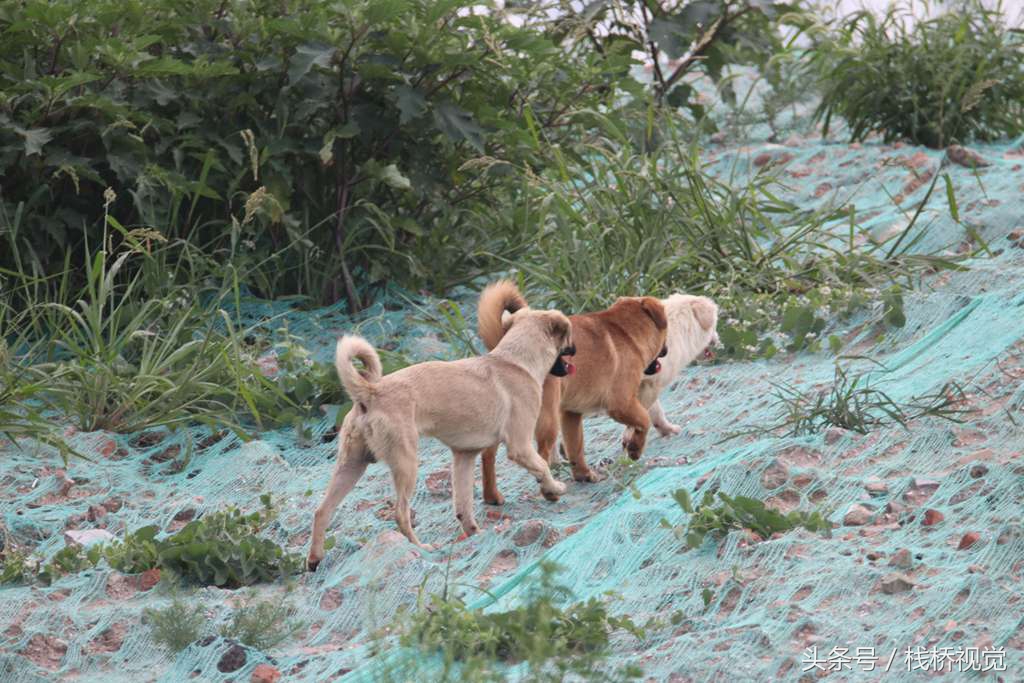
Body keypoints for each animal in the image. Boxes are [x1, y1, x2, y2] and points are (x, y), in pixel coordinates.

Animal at [303, 307, 577, 569]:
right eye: (568, 338)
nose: (575, 349)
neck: (514, 361)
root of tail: (371, 392)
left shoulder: (464, 457)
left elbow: (463, 504)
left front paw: (474, 533)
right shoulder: (520, 446)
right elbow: (542, 465)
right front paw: (553, 489)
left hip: (351, 466)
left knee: (321, 511)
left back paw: (315, 559)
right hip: (406, 464)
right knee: (400, 514)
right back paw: (421, 548)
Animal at [479, 278, 671, 501]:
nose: (666, 350)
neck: (625, 331)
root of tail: (506, 350)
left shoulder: (571, 415)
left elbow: (575, 447)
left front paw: (583, 474)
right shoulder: (622, 405)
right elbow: (644, 420)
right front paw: (635, 449)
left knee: (488, 455)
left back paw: (492, 496)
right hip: (547, 420)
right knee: (541, 455)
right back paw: (549, 491)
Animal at [618, 294, 716, 448]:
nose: (718, 340)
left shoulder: (648, 386)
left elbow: (654, 412)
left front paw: (667, 430)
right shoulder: (647, 387)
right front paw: (630, 438)